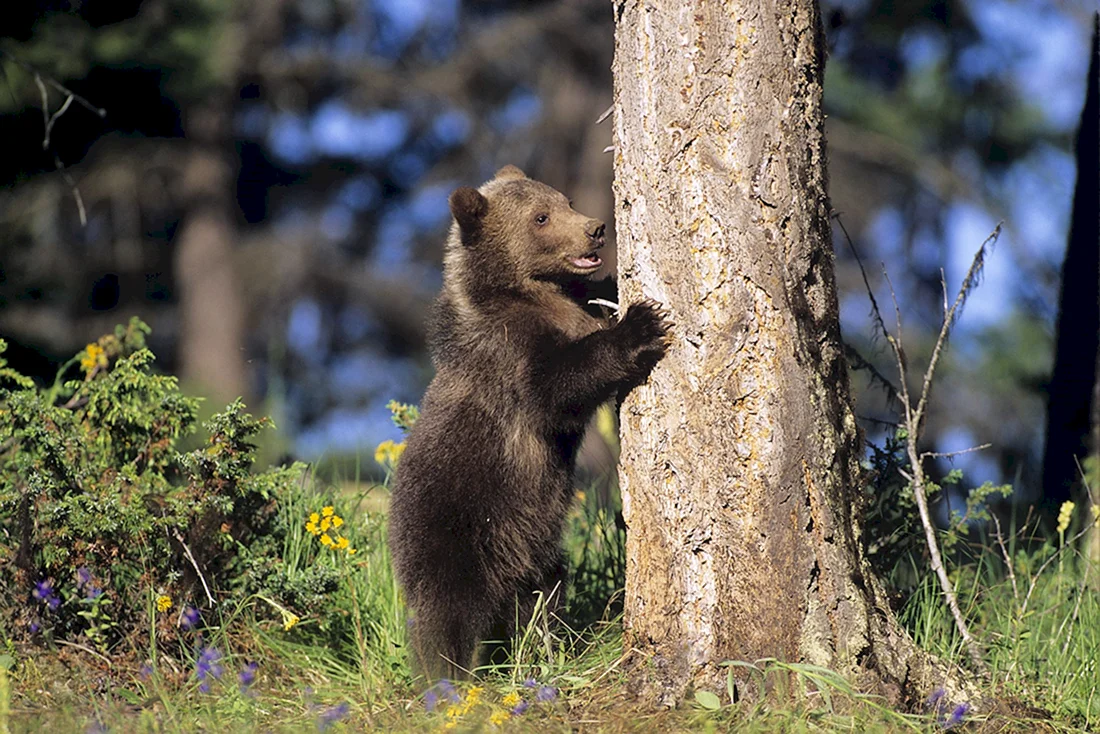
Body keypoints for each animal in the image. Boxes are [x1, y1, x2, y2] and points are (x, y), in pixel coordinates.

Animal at [388, 164, 670, 681]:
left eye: (565, 201)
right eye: (540, 217)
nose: (596, 227)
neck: (527, 292)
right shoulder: (509, 354)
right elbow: (556, 387)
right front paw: (642, 323)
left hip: (532, 545)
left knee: (542, 594)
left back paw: (540, 649)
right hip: (456, 526)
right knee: (444, 616)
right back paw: (447, 681)